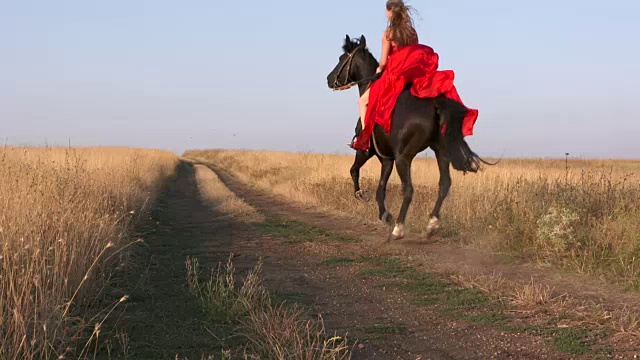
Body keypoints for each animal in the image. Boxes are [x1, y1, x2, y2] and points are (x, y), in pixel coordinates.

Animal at [330, 35, 484, 240]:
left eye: (341, 58)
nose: (329, 79)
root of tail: (435, 104)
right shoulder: (387, 158)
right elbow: (381, 189)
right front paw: (384, 215)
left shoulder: (367, 152)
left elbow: (354, 171)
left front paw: (361, 195)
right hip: (441, 152)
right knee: (444, 184)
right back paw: (431, 224)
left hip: (404, 157)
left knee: (409, 189)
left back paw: (399, 228)